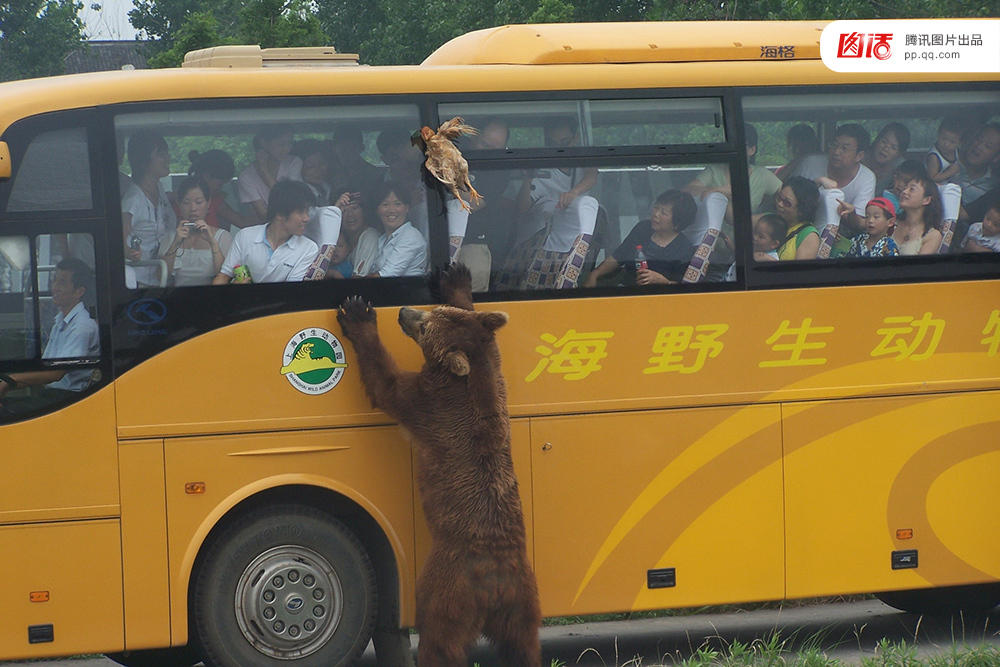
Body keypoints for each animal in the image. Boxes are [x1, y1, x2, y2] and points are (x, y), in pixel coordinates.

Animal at [336, 266, 540, 667]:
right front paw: (457, 278)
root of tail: (494, 583)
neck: (467, 379)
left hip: (447, 588)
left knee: (440, 637)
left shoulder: (432, 404)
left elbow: (388, 385)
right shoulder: (494, 372)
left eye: (425, 324)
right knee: (524, 643)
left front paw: (358, 314)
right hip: (523, 599)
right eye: (435, 310)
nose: (403, 311)